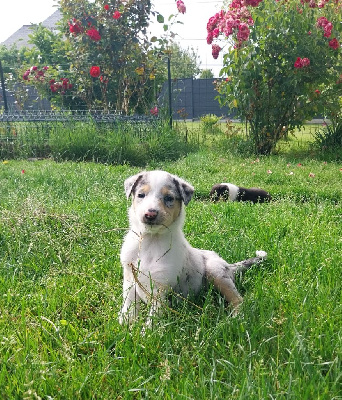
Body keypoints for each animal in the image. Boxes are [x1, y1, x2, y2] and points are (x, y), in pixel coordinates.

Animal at [120, 170, 268, 324]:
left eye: (169, 198)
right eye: (141, 195)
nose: (150, 214)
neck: (150, 240)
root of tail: (228, 265)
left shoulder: (160, 288)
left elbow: (152, 320)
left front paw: (145, 330)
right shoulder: (130, 280)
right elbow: (128, 307)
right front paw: (125, 325)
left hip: (216, 272)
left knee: (238, 299)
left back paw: (236, 318)